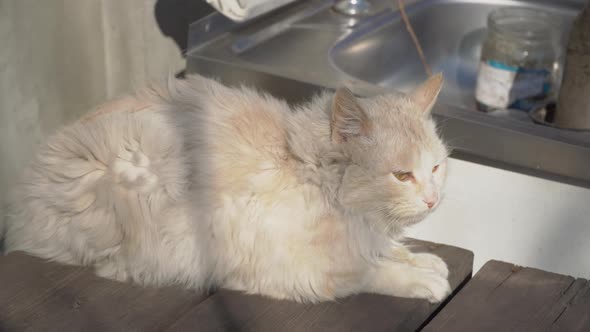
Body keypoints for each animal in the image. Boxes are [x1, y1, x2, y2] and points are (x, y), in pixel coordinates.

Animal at [2, 74, 450, 302]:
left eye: (436, 167)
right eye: (402, 176)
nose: (433, 200)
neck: (309, 171)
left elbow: (386, 251)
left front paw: (421, 260)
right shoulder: (302, 271)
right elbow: (371, 272)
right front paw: (420, 280)